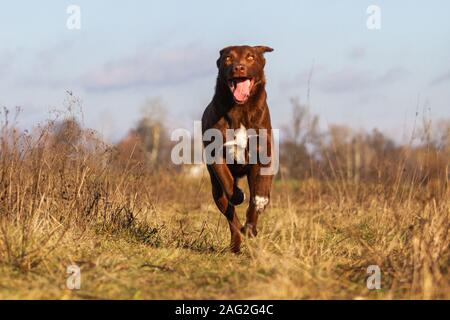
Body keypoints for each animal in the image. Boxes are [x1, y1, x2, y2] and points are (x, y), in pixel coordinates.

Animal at [201, 45, 272, 252]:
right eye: (228, 58)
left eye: (250, 57)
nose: (238, 68)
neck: (239, 109)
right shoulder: (216, 153)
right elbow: (226, 178)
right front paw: (238, 194)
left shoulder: (264, 152)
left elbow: (260, 188)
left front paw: (261, 200)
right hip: (216, 191)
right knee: (231, 216)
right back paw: (236, 242)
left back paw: (250, 228)